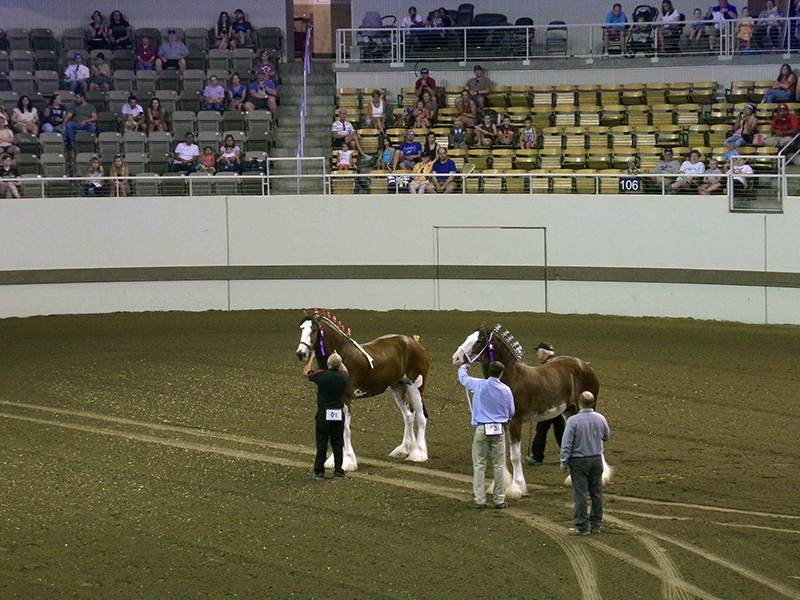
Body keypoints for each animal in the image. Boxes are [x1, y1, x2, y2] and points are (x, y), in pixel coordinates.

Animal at [296, 312, 432, 472]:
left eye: (314, 329)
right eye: (301, 328)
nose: (301, 353)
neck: (342, 356)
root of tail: (416, 344)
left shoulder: (345, 399)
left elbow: (345, 429)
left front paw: (347, 462)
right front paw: (335, 460)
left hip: (415, 387)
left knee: (421, 417)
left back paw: (418, 454)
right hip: (398, 387)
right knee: (409, 416)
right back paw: (404, 450)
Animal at [450, 326, 608, 500]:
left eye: (479, 340)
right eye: (468, 337)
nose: (456, 358)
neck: (510, 378)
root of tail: (586, 365)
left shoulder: (515, 422)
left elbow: (514, 456)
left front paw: (516, 488)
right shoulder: (501, 423)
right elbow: (501, 454)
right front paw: (500, 485)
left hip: (586, 408)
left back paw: (602, 477)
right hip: (570, 411)